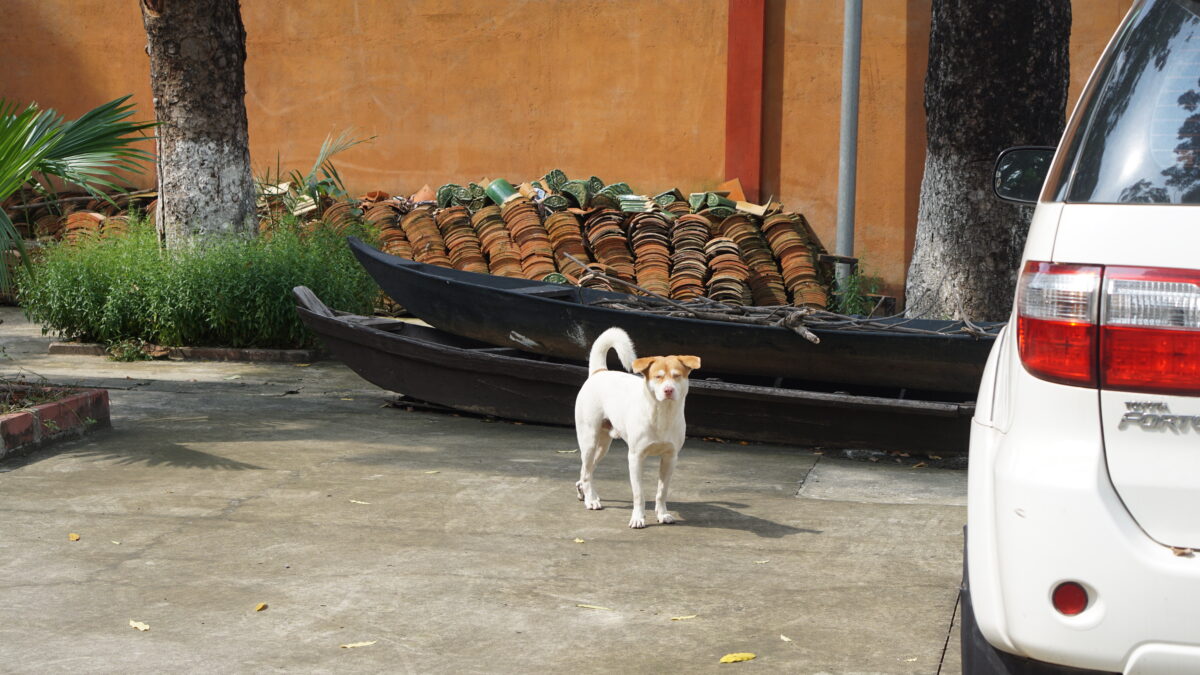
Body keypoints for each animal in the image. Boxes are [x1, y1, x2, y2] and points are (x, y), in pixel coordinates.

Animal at [573, 326, 700, 526]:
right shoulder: (636, 458)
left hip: (602, 447)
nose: (668, 390)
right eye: (658, 377)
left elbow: (662, 491)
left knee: (587, 469)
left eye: (677, 376)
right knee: (587, 471)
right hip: (589, 442)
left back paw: (584, 492)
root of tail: (599, 372)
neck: (662, 414)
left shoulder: (670, 458)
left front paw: (662, 514)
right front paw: (638, 518)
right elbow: (639, 493)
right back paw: (591, 500)